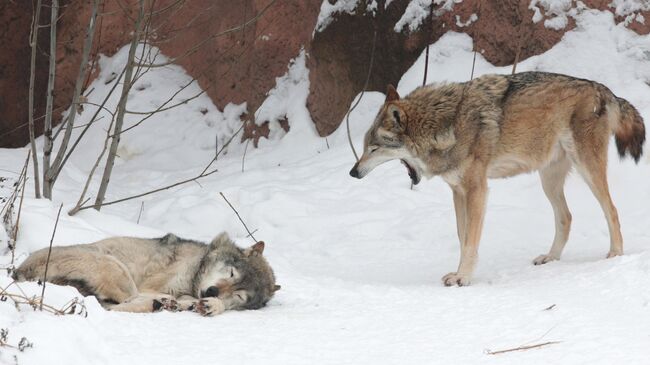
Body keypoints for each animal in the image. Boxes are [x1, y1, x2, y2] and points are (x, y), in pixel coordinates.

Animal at [12, 232, 276, 314]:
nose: (211, 291)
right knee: (125, 303)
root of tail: (18, 272)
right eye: (231, 273)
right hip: (114, 265)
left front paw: (212, 304)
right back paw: (161, 304)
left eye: (239, 295)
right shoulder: (152, 286)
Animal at [350, 71, 644, 286]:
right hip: (548, 180)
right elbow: (463, 238)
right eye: (365, 147)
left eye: (374, 148)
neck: (446, 125)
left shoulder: (477, 189)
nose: (353, 172)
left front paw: (463, 278)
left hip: (587, 169)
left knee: (612, 210)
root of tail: (603, 89)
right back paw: (551, 257)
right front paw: (460, 273)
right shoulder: (458, 192)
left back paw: (615, 254)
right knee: (566, 217)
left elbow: (470, 241)